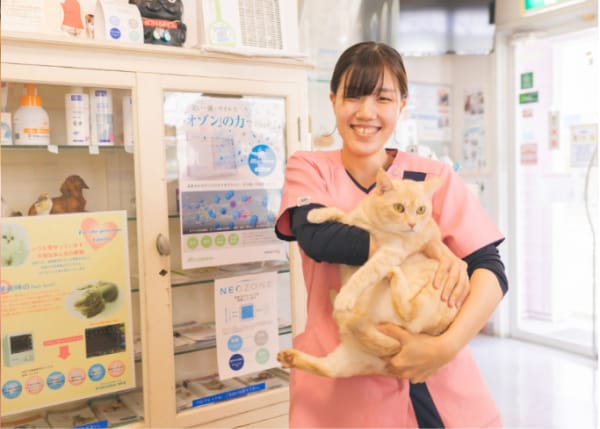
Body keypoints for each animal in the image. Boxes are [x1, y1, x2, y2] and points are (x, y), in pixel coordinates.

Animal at [277, 169, 459, 378]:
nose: (413, 224)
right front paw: (317, 213)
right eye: (399, 208)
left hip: (429, 298)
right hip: (349, 363)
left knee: (409, 312)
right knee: (325, 369)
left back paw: (389, 276)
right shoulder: (355, 225)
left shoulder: (390, 252)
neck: (377, 224)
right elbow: (341, 214)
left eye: (421, 210)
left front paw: (346, 296)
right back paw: (290, 357)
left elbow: (364, 274)